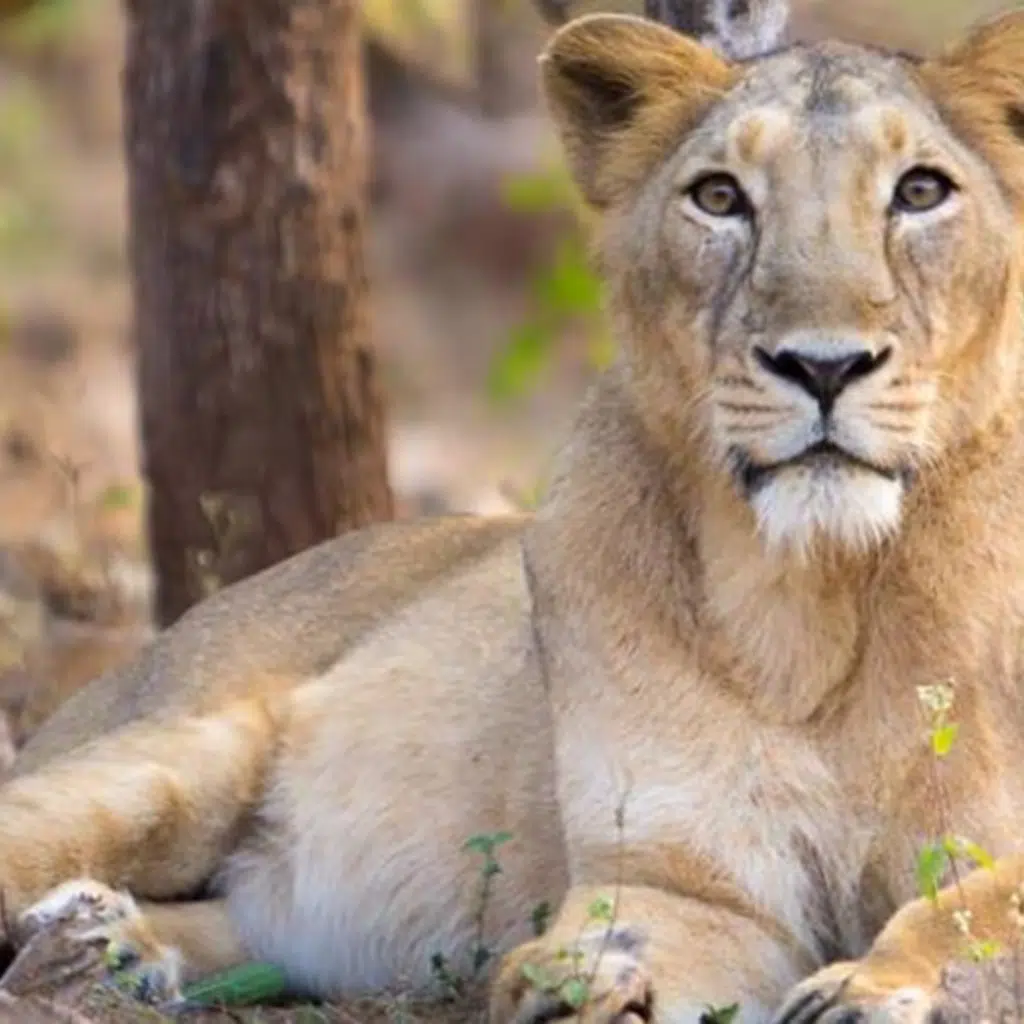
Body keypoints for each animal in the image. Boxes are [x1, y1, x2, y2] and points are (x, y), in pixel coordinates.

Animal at [2, 3, 1024, 1022]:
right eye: (721, 198)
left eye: (921, 191)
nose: (821, 365)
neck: (815, 595)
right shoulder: (684, 881)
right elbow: (640, 927)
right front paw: (575, 985)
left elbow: (977, 913)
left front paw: (879, 989)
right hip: (176, 757)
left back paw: (109, 946)